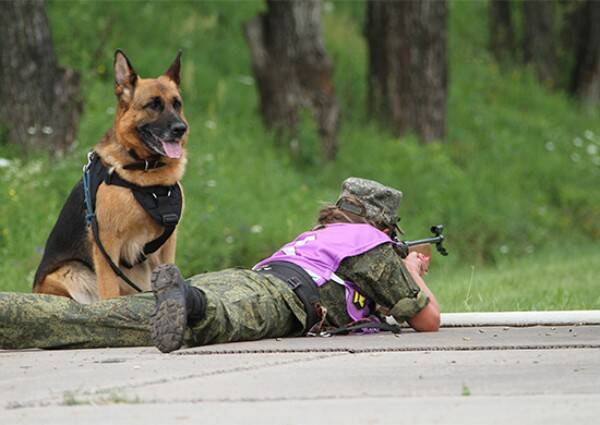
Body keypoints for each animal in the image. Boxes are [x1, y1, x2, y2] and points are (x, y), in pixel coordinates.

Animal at [34, 50, 188, 302]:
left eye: (177, 104)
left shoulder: (167, 245)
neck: (146, 173)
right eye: (153, 105)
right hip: (74, 273)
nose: (181, 129)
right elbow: (109, 294)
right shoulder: (107, 246)